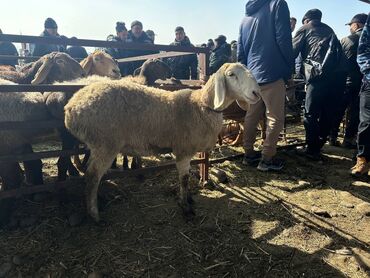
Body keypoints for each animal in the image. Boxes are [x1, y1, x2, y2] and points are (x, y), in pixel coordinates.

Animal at [64, 62, 260, 222]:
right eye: (231, 74)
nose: (256, 93)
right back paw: (94, 214)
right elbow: (184, 179)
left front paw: (189, 199)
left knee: (89, 173)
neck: (201, 106)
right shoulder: (183, 150)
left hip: (96, 145)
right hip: (105, 144)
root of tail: (72, 107)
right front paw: (185, 206)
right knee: (92, 176)